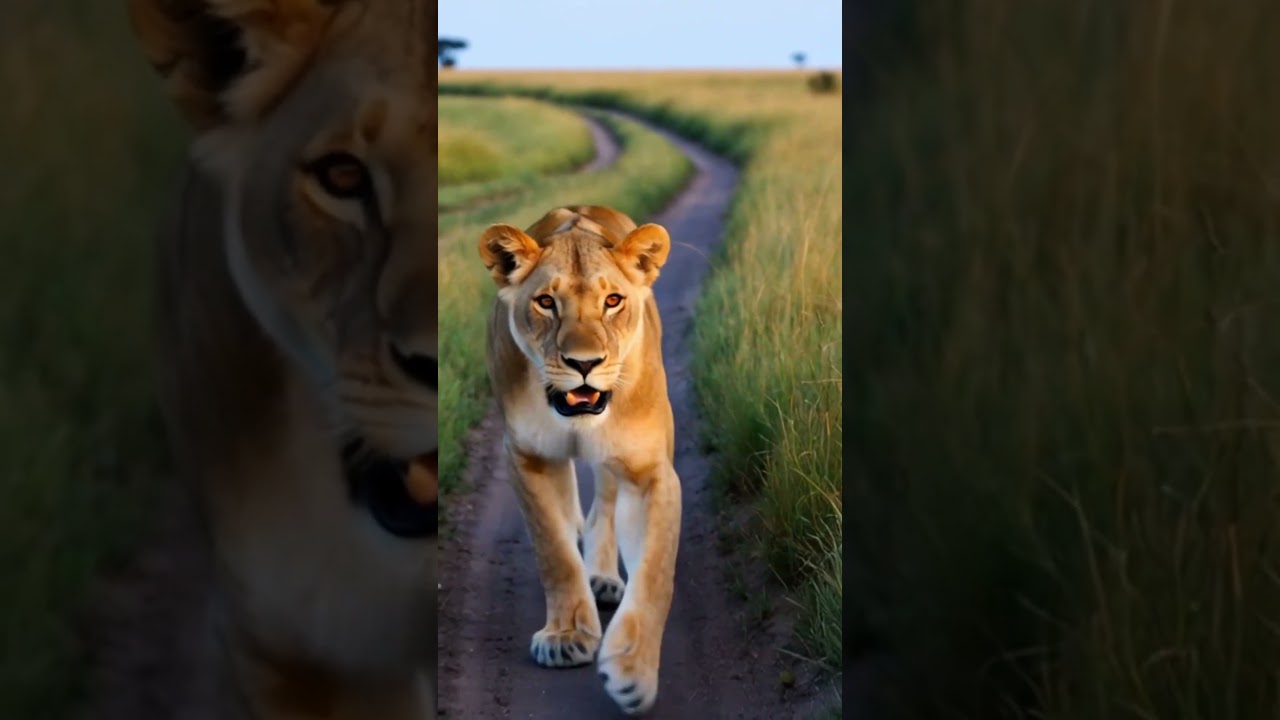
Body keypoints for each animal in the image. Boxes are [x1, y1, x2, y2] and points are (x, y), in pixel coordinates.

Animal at [478, 205, 683, 716]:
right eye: (545, 303)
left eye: (612, 300)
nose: (584, 363)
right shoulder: (527, 457)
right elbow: (553, 551)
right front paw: (567, 635)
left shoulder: (651, 472)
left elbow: (656, 574)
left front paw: (633, 669)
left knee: (604, 505)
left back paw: (604, 578)